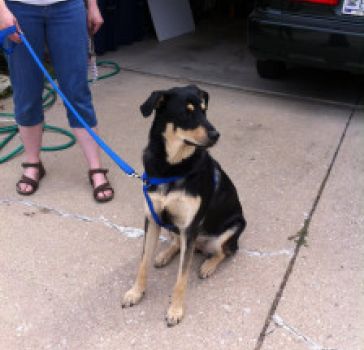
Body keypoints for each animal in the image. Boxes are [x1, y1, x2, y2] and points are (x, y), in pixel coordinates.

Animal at [123, 86, 247, 326]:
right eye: (186, 113)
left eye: (204, 110)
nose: (216, 134)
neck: (172, 166)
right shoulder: (152, 219)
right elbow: (143, 262)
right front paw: (136, 292)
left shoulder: (190, 226)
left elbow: (182, 278)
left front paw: (175, 310)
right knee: (178, 243)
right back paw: (164, 254)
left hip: (233, 227)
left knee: (224, 251)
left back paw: (208, 265)